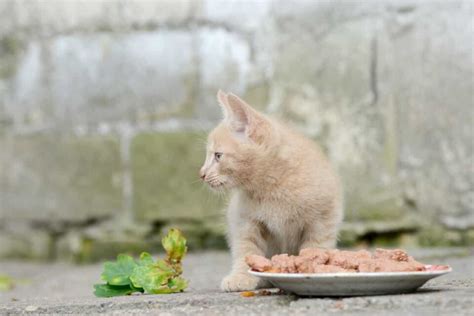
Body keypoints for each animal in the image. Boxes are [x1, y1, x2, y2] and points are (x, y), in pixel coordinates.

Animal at [198, 89, 342, 292]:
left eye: (218, 156)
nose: (201, 174)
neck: (273, 185)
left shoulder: (323, 218)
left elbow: (316, 245)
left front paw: (312, 268)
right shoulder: (244, 221)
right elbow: (246, 249)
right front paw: (241, 276)